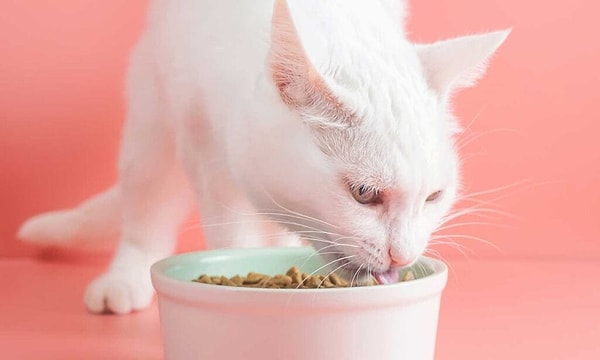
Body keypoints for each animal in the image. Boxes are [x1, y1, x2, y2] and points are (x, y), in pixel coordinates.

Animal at [17, 0, 506, 314]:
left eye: (434, 197)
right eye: (364, 194)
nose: (402, 258)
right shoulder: (206, 151)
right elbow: (233, 237)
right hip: (150, 116)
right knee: (146, 209)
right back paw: (123, 281)